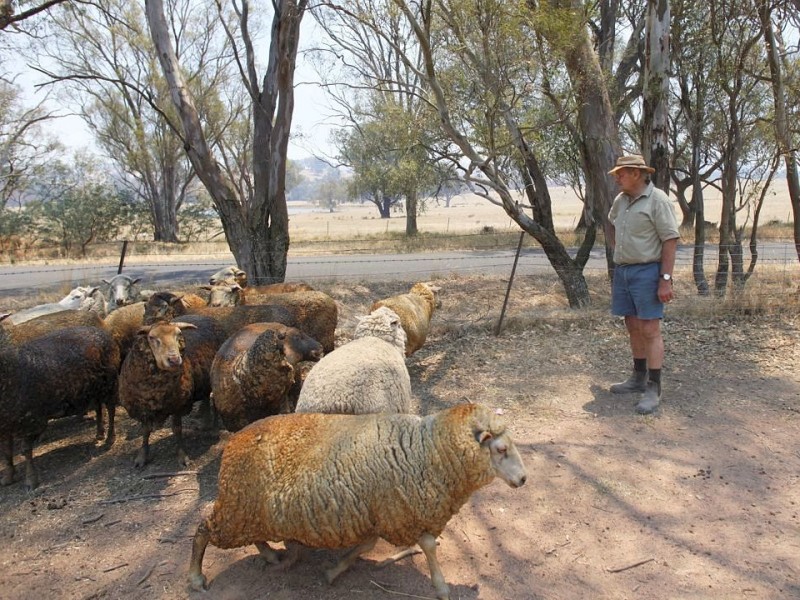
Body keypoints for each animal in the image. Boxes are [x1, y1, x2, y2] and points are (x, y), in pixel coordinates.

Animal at [0, 326, 120, 490]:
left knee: (111, 409)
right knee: (98, 408)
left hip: (109, 383)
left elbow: (26, 451)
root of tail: (104, 333)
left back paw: (109, 438)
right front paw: (8, 477)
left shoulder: (32, 422)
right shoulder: (6, 427)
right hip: (93, 389)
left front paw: (31, 480)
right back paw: (99, 434)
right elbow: (6, 451)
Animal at [185, 400, 528, 596]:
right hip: (236, 510)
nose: (524, 479)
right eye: (500, 449)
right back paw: (196, 578)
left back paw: (271, 555)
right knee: (202, 531)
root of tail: (232, 443)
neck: (426, 450)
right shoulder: (397, 512)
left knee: (252, 536)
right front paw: (442, 586)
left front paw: (334, 571)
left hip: (249, 510)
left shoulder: (377, 513)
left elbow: (367, 546)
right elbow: (428, 545)